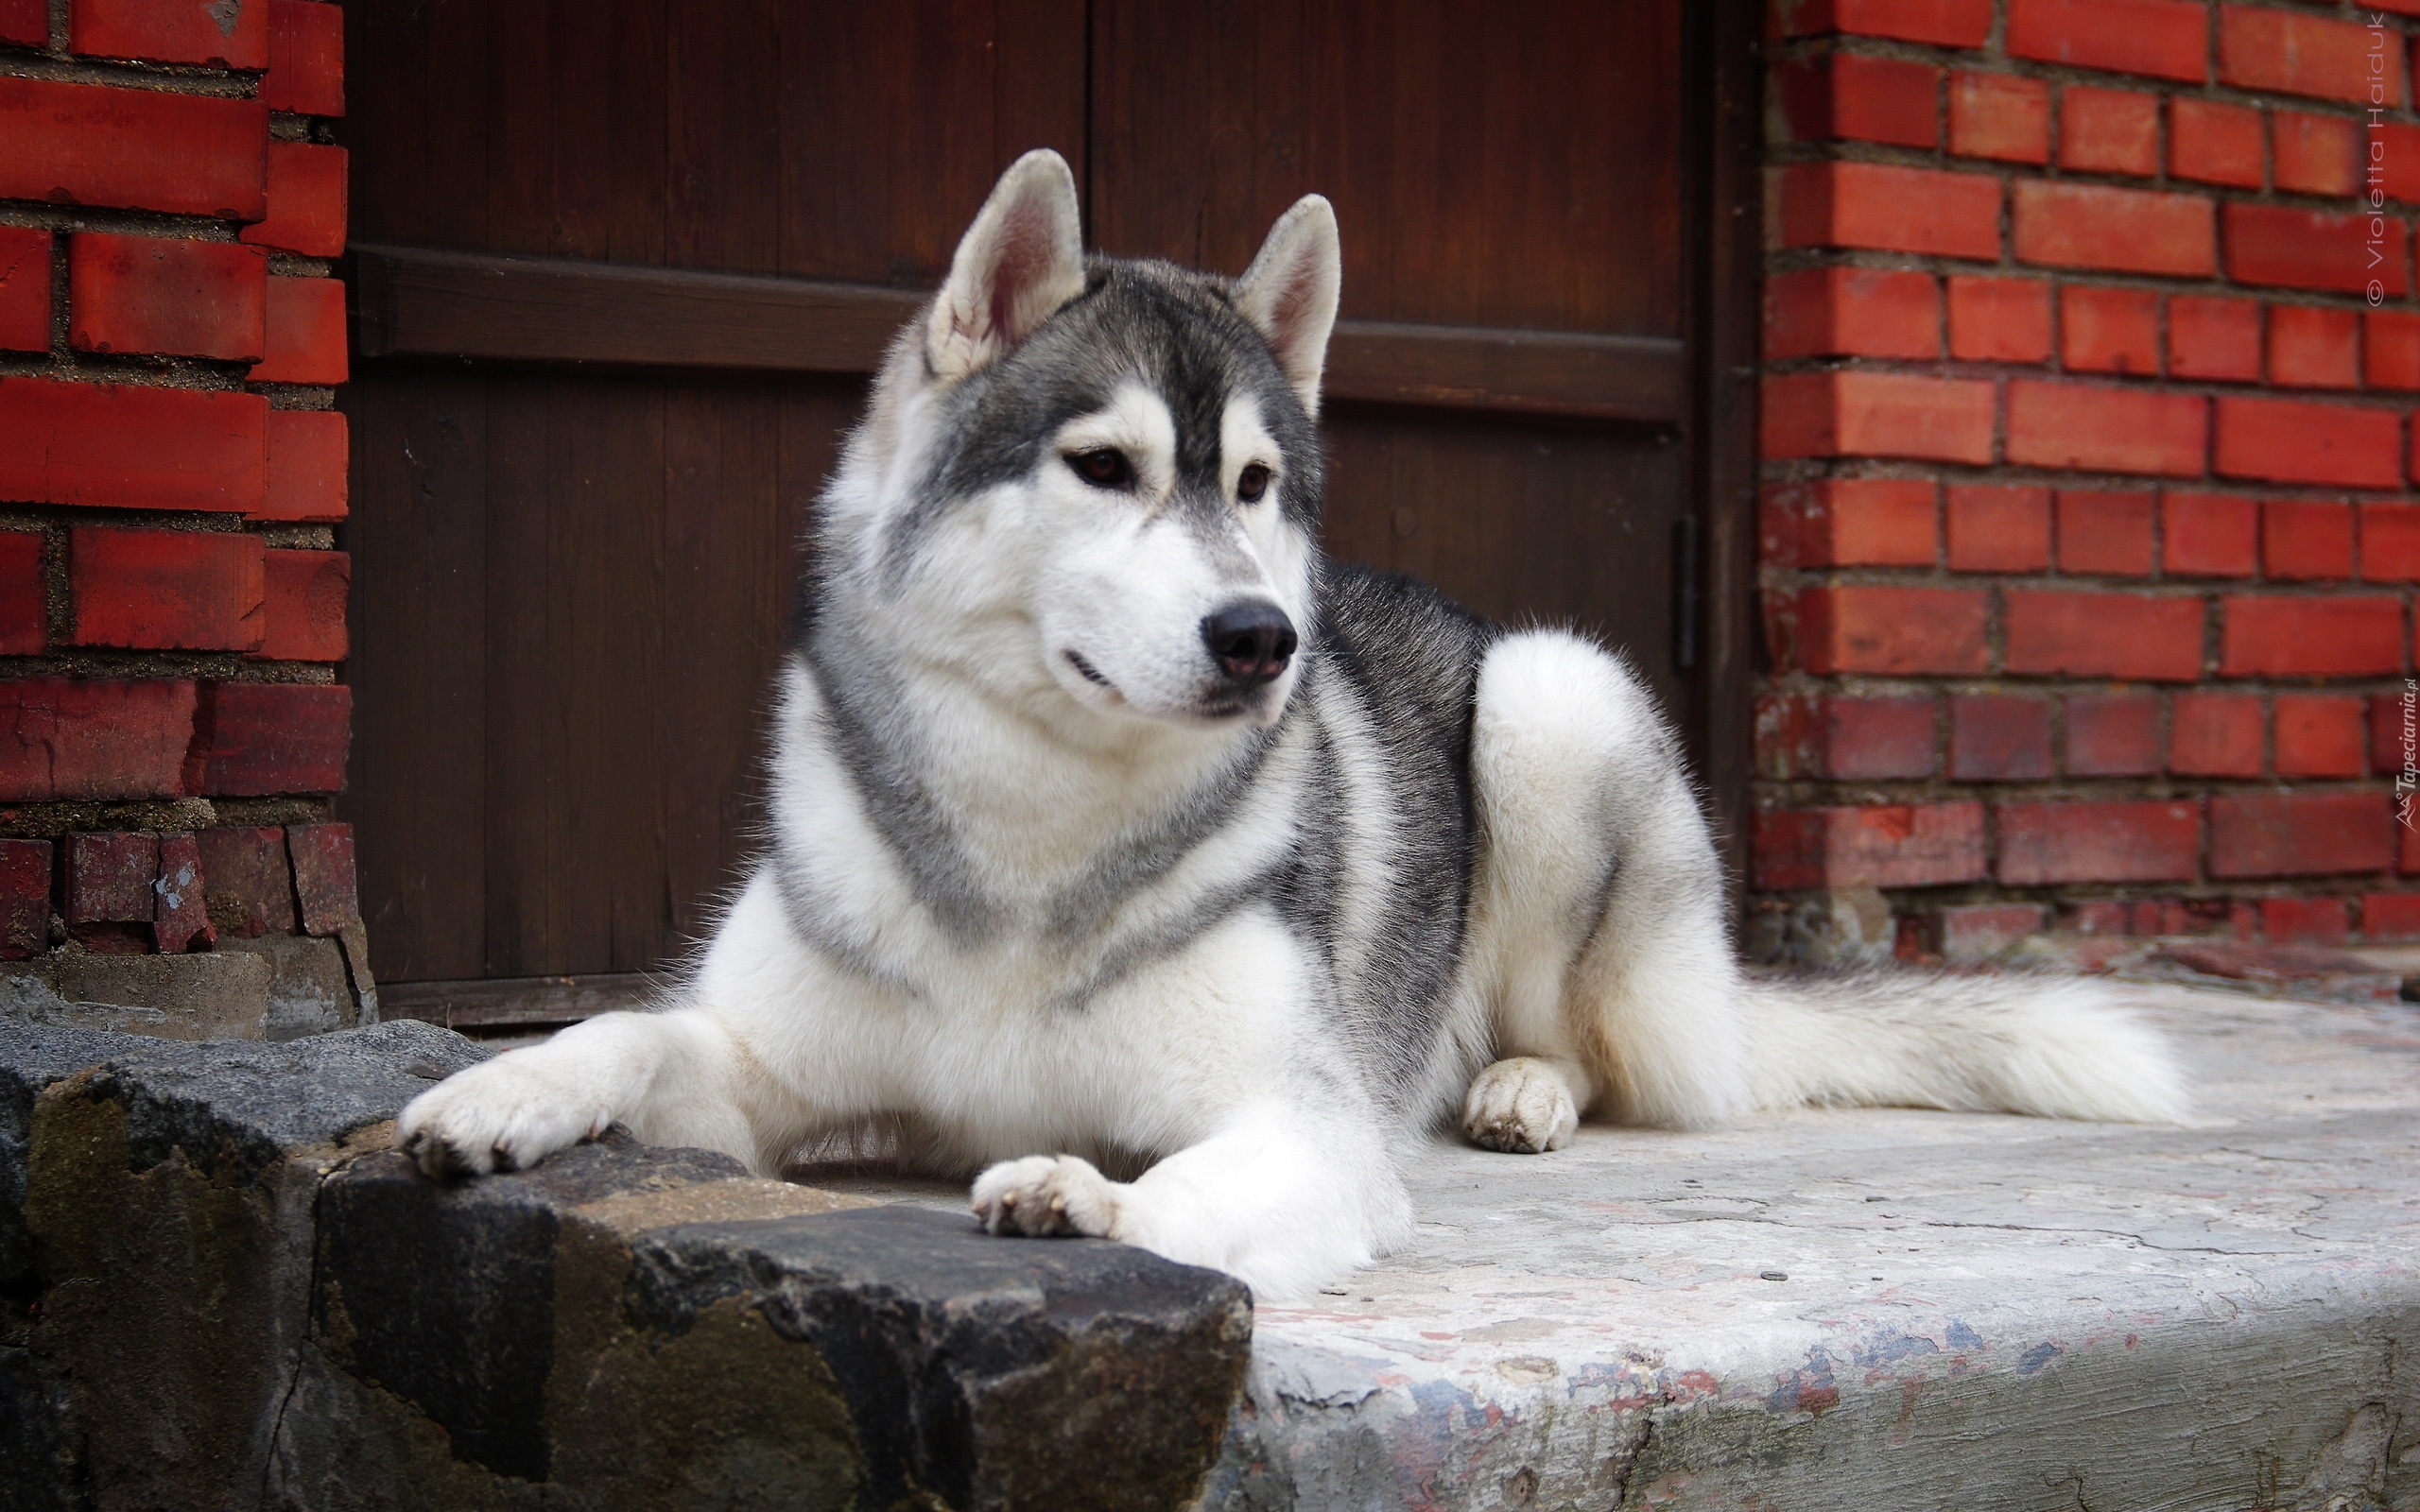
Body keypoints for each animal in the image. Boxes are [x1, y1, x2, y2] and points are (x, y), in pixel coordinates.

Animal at [401, 147, 2197, 1297]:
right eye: (1104, 466)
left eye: (1257, 485)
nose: (1263, 637)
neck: (1033, 843)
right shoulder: (764, 1066)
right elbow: (638, 1034)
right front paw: (493, 1099)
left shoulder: (1305, 1123)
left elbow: (1187, 1187)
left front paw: (1084, 1195)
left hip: (1553, 701)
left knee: (1613, 1056)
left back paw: (1522, 1088)